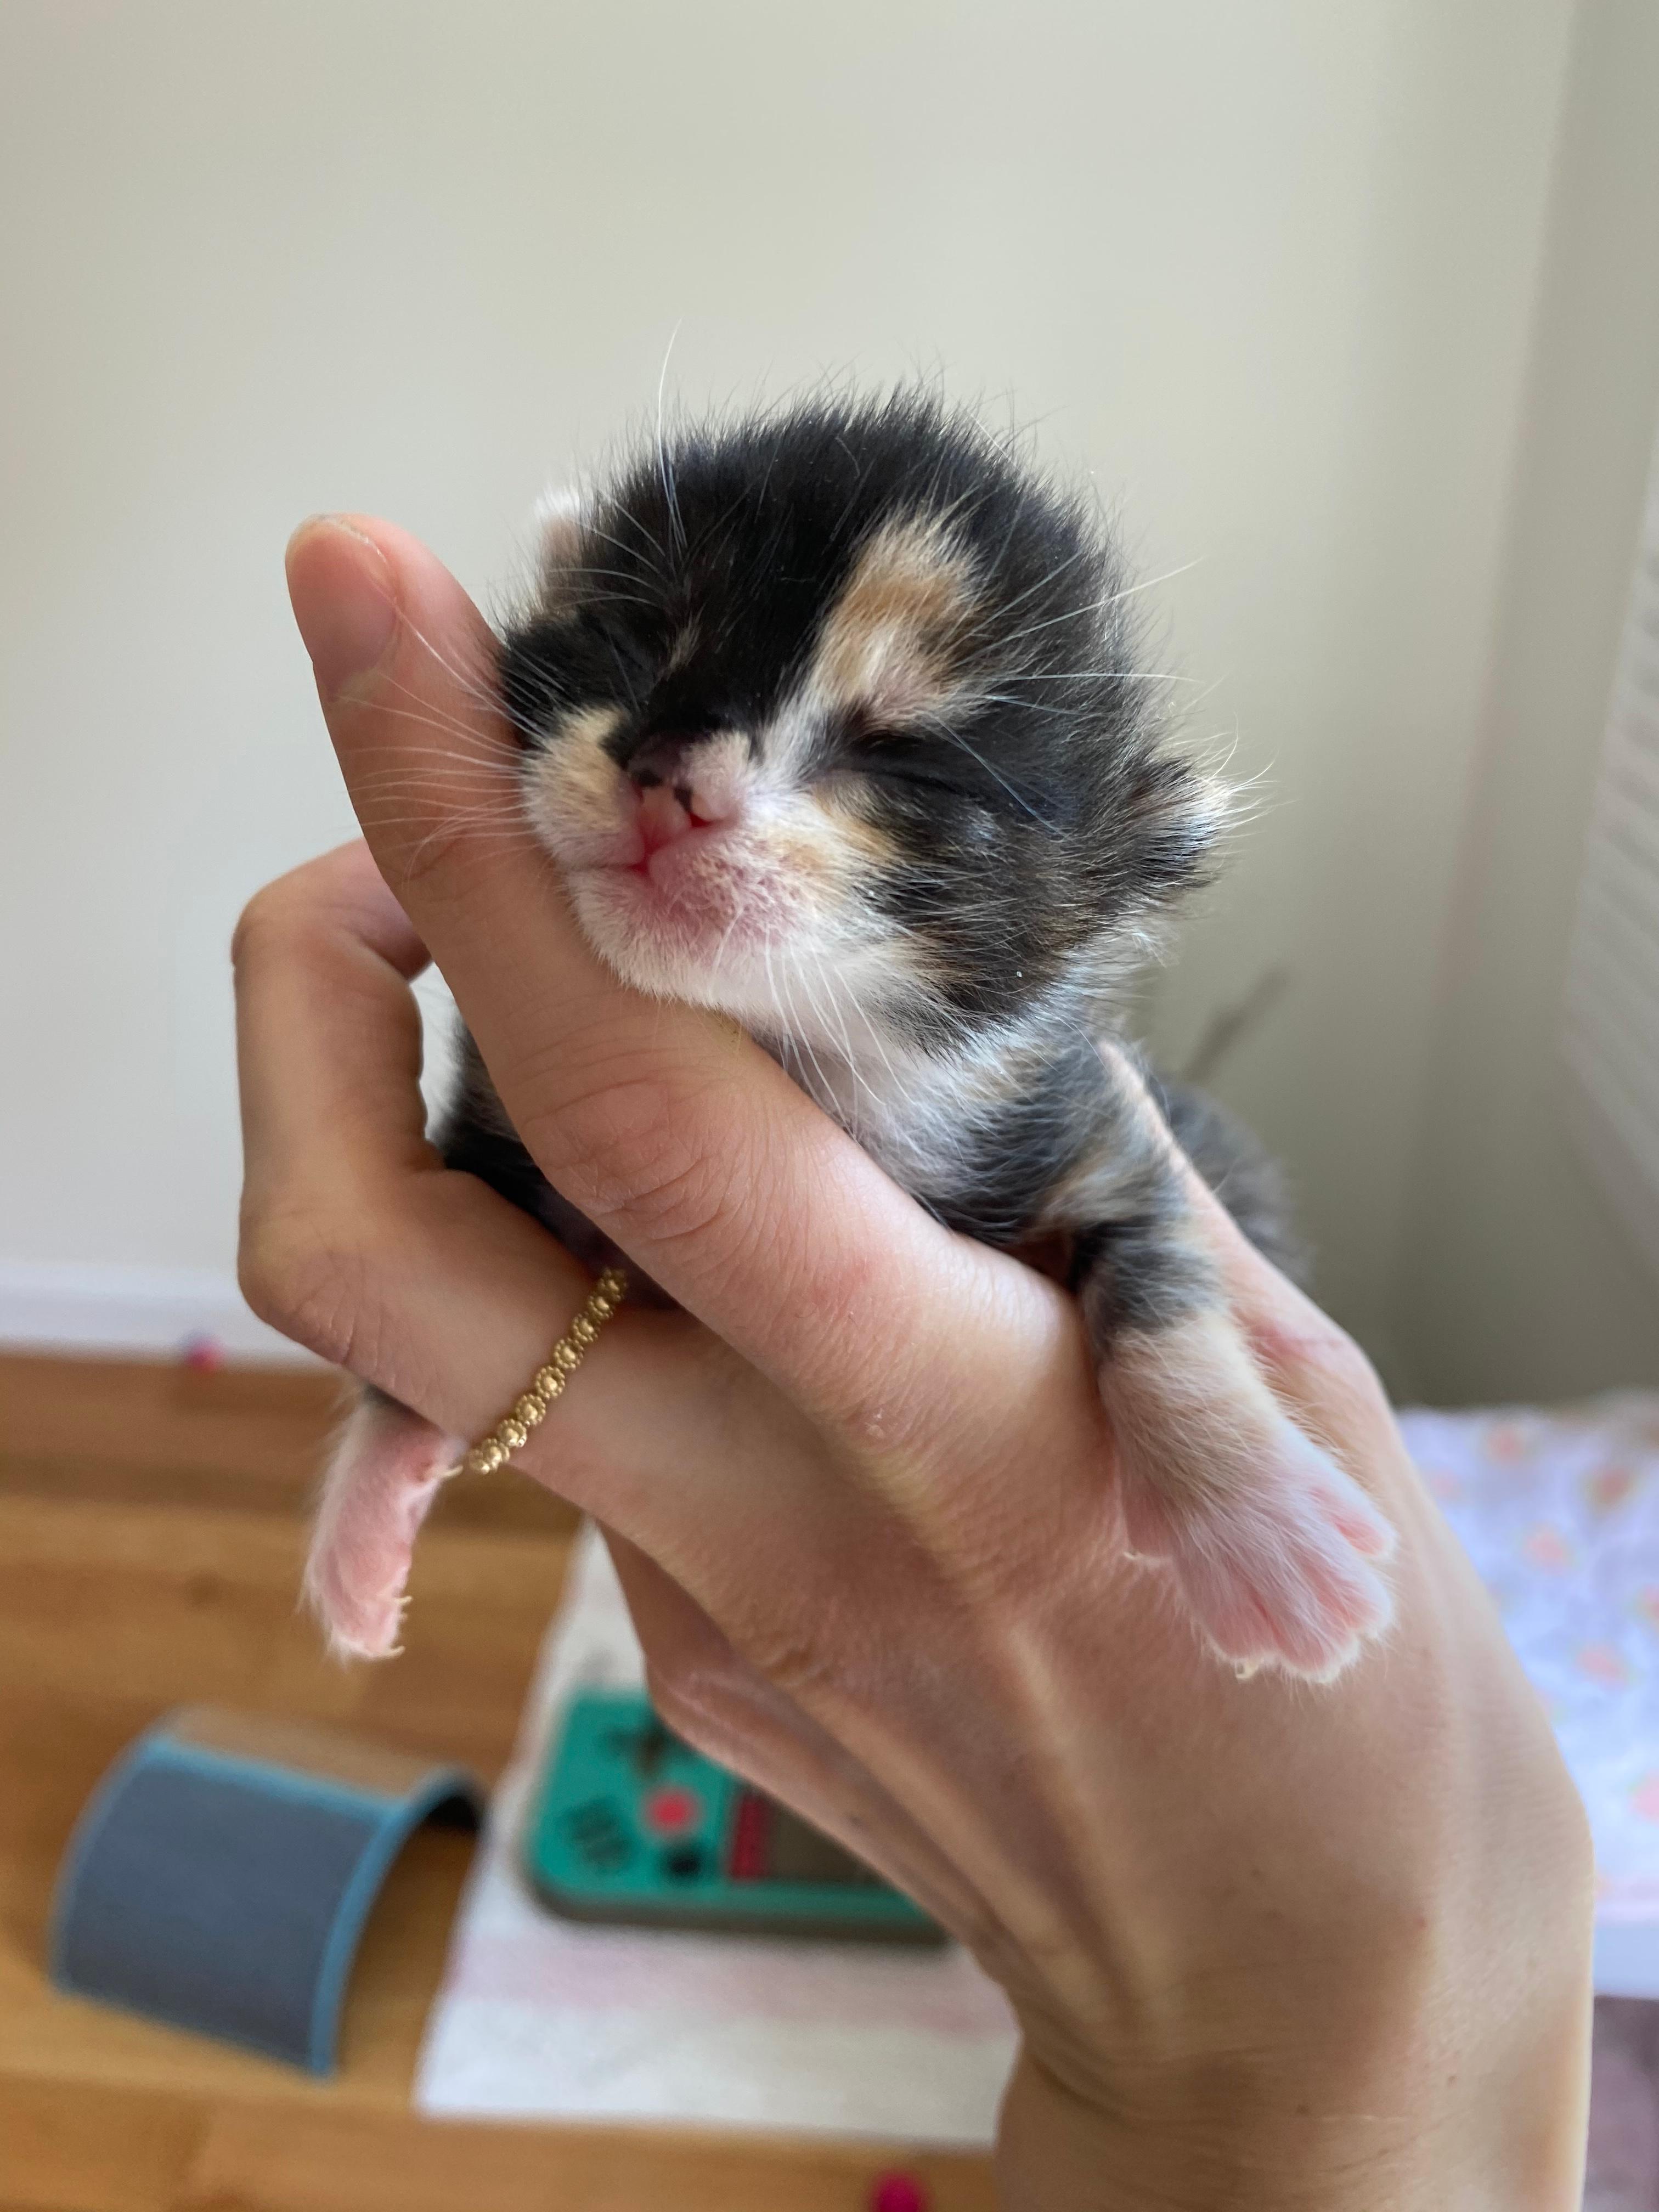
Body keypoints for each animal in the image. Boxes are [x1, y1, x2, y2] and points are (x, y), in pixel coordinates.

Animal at [305, 393, 1398, 1672]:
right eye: (637, 636)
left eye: (905, 755)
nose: (667, 772)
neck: (794, 1061)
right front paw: (368, 1506)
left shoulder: (1091, 1121)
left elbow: (1164, 1271)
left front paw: (1258, 1523)